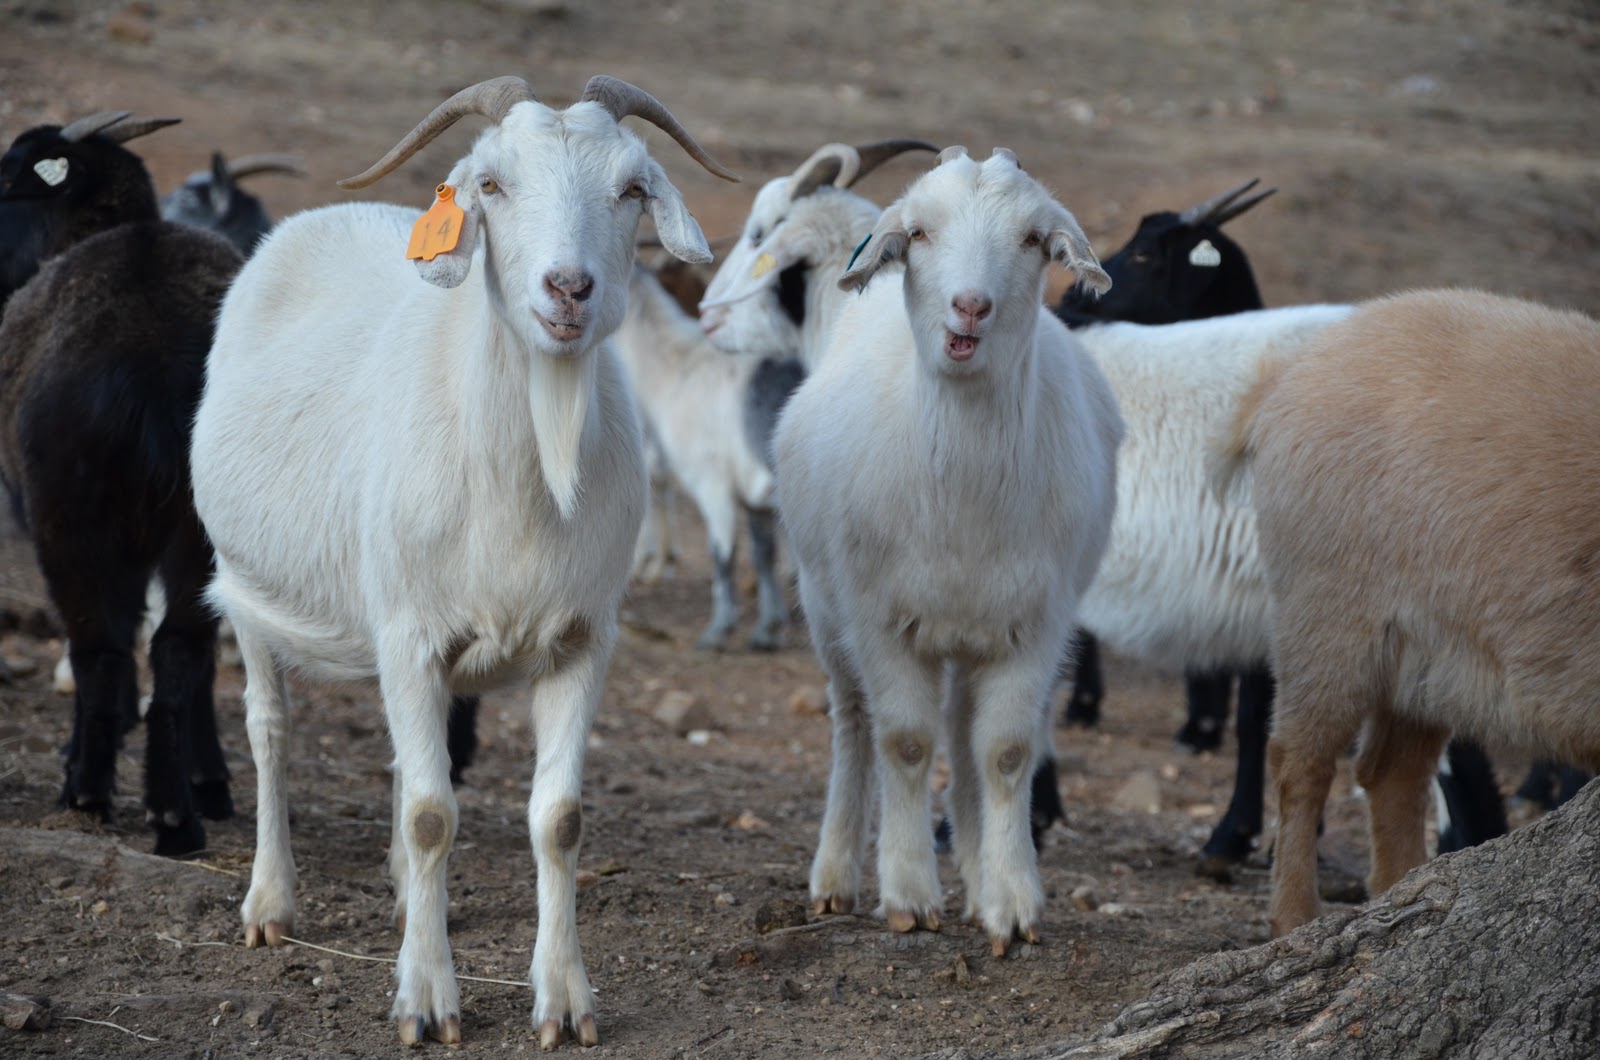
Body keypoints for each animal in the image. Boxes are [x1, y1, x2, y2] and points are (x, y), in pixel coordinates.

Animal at [0, 110, 239, 855]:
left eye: (10, 179)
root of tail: (150, 359)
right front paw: (208, 783)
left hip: (65, 516)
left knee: (98, 649)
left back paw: (89, 793)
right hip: (199, 527)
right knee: (180, 652)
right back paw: (177, 818)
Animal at [190, 75, 734, 1047]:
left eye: (632, 189)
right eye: (491, 185)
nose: (569, 288)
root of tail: (327, 214)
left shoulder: (582, 640)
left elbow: (555, 819)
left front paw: (564, 1001)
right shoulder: (409, 635)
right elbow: (432, 814)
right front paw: (425, 1000)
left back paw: (405, 897)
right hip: (246, 586)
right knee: (270, 731)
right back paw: (270, 902)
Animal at [776, 146, 1122, 955]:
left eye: (1033, 241)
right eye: (920, 234)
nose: (970, 307)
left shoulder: (1038, 623)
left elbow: (1005, 753)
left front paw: (1011, 901)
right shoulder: (879, 617)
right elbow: (903, 741)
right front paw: (908, 894)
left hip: (973, 632)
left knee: (966, 738)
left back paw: (973, 864)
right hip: (825, 604)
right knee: (853, 723)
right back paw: (835, 874)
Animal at [1222, 288, 1600, 936]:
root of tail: (1294, 374)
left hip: (1423, 653)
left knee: (1392, 775)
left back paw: (1403, 892)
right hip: (1327, 614)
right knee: (1300, 762)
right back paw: (1295, 917)